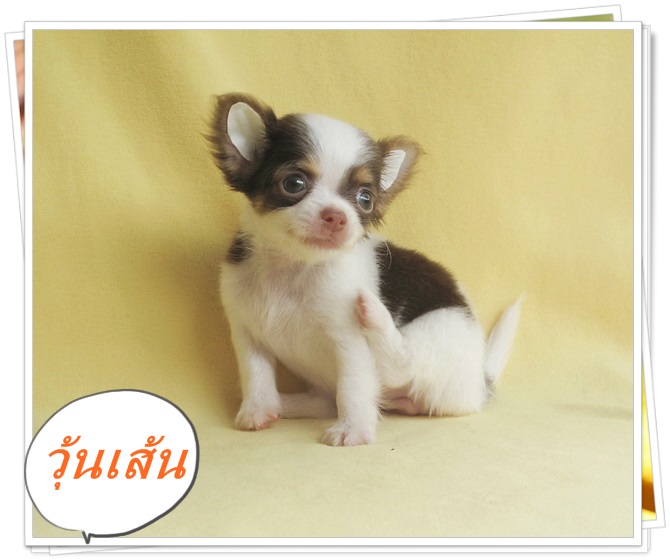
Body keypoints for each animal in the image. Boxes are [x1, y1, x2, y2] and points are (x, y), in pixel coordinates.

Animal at [209, 93, 523, 446]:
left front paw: (353, 430)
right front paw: (257, 410)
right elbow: (255, 374)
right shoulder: (247, 332)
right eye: (294, 183)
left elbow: (353, 387)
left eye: (365, 199)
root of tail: (482, 381)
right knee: (326, 400)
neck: (295, 267)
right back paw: (285, 403)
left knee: (403, 366)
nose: (337, 216)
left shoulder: (349, 342)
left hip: (438, 330)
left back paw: (376, 316)